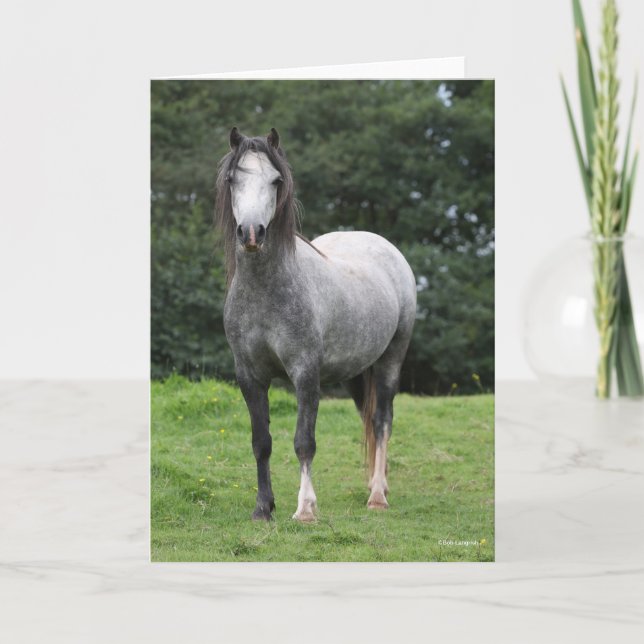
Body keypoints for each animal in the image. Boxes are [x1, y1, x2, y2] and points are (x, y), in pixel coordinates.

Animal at [215, 127, 416, 522]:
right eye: (233, 179)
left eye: (275, 180)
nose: (251, 233)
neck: (266, 292)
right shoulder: (249, 376)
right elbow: (261, 442)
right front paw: (263, 508)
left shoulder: (305, 373)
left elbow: (303, 442)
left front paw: (306, 508)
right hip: (357, 371)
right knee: (368, 419)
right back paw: (378, 485)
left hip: (390, 360)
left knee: (382, 421)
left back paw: (377, 496)